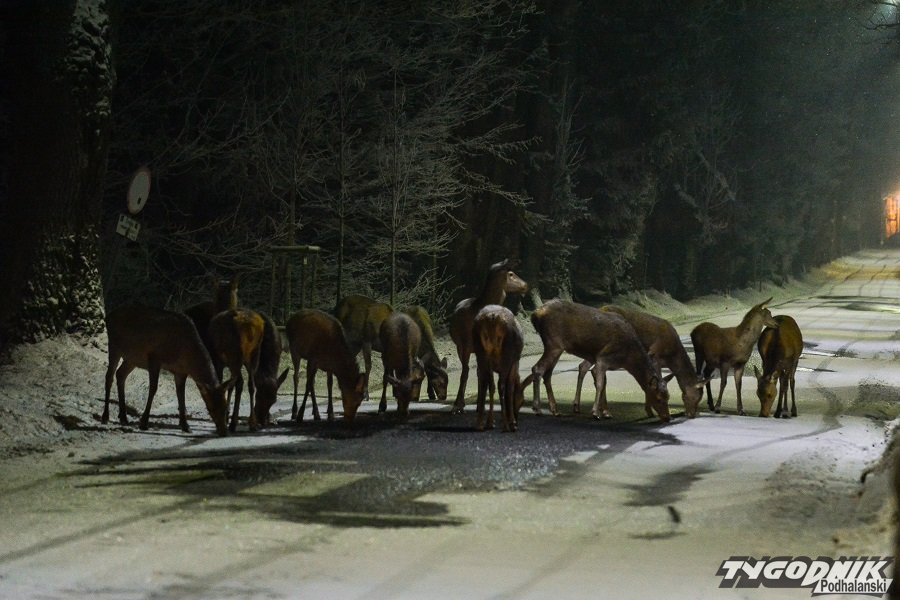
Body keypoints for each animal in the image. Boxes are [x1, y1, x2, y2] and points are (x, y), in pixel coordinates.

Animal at [103, 305, 235, 436]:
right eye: (210, 408)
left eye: (226, 407)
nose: (224, 431)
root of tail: (108, 317)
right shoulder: (154, 357)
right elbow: (153, 389)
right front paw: (143, 423)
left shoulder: (181, 371)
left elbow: (181, 395)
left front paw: (185, 426)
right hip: (114, 346)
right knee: (109, 376)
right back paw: (106, 416)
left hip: (132, 358)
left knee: (120, 374)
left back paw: (123, 417)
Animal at [449, 258, 528, 414]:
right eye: (511, 273)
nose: (525, 285)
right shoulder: (463, 345)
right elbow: (464, 373)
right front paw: (457, 405)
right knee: (470, 371)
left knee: (480, 372)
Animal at [524, 299, 670, 422]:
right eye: (658, 398)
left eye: (668, 397)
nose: (667, 418)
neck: (627, 358)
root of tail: (535, 313)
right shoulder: (603, 358)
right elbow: (600, 383)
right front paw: (595, 412)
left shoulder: (604, 362)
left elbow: (604, 383)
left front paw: (606, 412)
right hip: (553, 343)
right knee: (537, 368)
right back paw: (537, 408)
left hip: (556, 347)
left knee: (547, 373)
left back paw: (555, 410)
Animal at [573, 306, 708, 418]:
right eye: (695, 397)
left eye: (700, 398)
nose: (691, 414)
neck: (672, 357)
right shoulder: (654, 355)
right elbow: (654, 380)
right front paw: (650, 411)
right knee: (595, 371)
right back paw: (601, 410)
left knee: (584, 366)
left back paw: (580, 407)